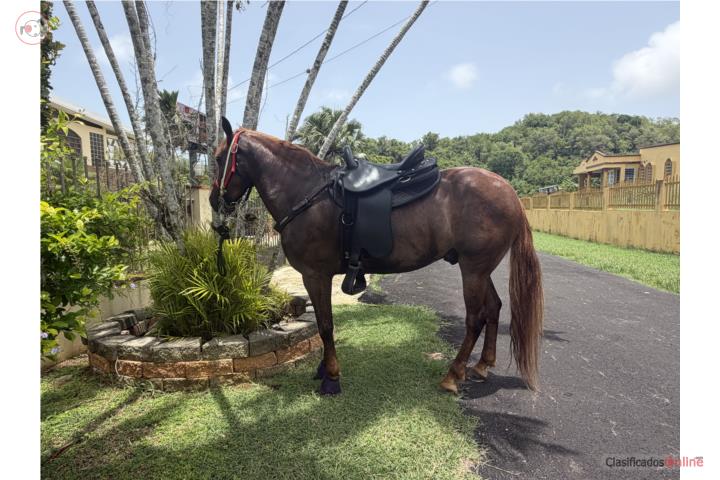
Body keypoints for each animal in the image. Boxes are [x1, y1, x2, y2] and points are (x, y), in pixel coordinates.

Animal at [209, 117, 544, 396]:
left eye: (218, 159)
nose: (215, 200)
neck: (306, 192)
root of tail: (509, 192)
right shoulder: (315, 277)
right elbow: (322, 323)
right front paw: (323, 370)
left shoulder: (315, 275)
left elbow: (325, 325)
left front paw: (332, 377)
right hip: (479, 269)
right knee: (494, 308)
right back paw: (482, 365)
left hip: (473, 270)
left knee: (475, 318)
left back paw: (453, 374)